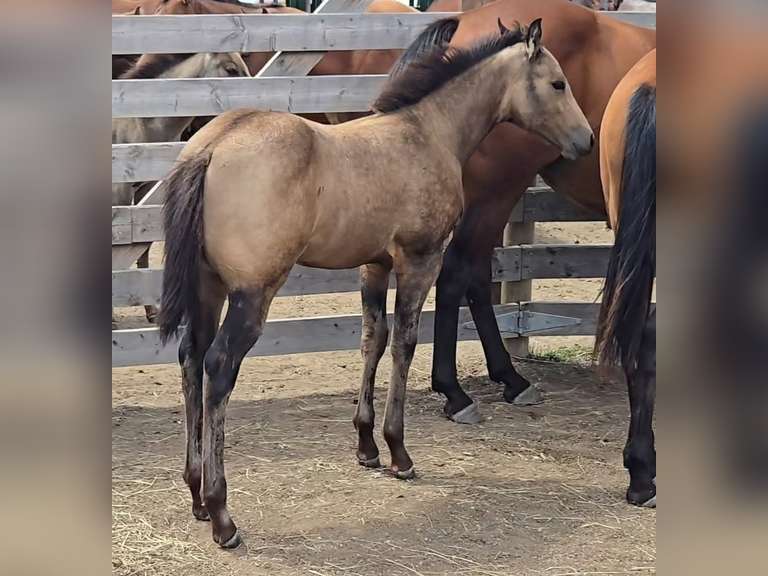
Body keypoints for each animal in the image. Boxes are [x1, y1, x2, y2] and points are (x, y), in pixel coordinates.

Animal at [112, 51, 250, 323]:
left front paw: (152, 311)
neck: (140, 122)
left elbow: (143, 249)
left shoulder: (145, 187)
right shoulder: (121, 189)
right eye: (230, 69)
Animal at [158, 20, 593, 548]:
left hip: (209, 285)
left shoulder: (375, 265)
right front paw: (398, 451)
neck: (428, 133)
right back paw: (222, 514)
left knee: (191, 356)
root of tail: (212, 144)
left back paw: (196, 494)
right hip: (252, 291)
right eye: (558, 84)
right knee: (218, 366)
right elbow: (405, 341)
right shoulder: (421, 258)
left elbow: (373, 339)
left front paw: (366, 445)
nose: (586, 140)